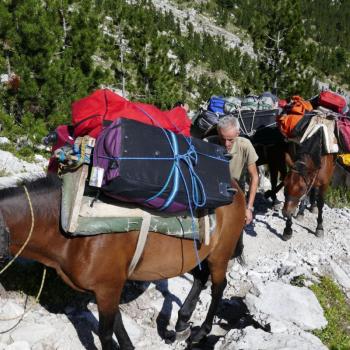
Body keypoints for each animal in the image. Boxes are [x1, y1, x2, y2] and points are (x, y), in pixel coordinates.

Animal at [0, 175, 245, 350]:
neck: (68, 226)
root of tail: (235, 185)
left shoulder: (108, 286)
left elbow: (106, 334)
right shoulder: (108, 288)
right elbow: (118, 325)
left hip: (220, 253)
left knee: (218, 286)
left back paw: (202, 331)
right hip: (200, 254)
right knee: (200, 277)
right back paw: (182, 321)